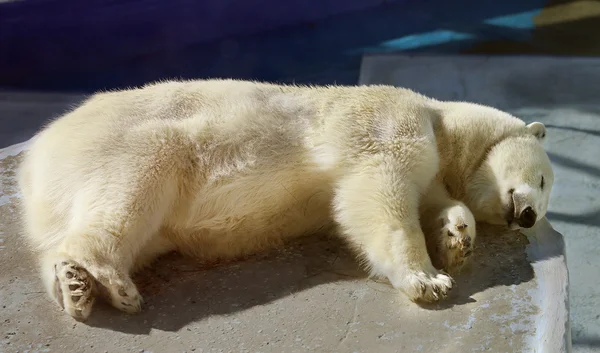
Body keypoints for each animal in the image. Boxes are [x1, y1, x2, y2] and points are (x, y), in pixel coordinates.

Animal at [17, 79, 552, 320]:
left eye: (544, 200)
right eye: (546, 180)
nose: (527, 216)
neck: (442, 124)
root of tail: (34, 159)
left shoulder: (436, 170)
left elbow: (438, 201)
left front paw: (458, 238)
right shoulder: (388, 126)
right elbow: (378, 197)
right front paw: (428, 279)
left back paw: (75, 286)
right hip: (124, 143)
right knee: (133, 186)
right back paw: (111, 283)